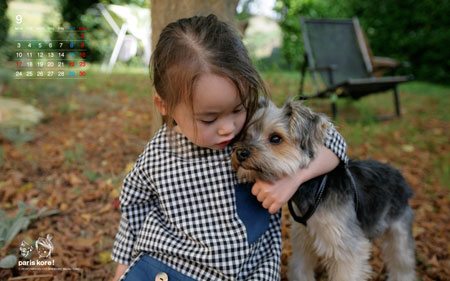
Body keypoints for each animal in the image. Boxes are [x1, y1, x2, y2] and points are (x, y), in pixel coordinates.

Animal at [234, 98, 416, 280]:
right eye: (246, 135)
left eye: (275, 138)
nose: (241, 153)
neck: (313, 188)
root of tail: (398, 174)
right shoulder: (303, 239)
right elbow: (300, 268)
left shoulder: (347, 248)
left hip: (399, 225)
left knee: (402, 261)